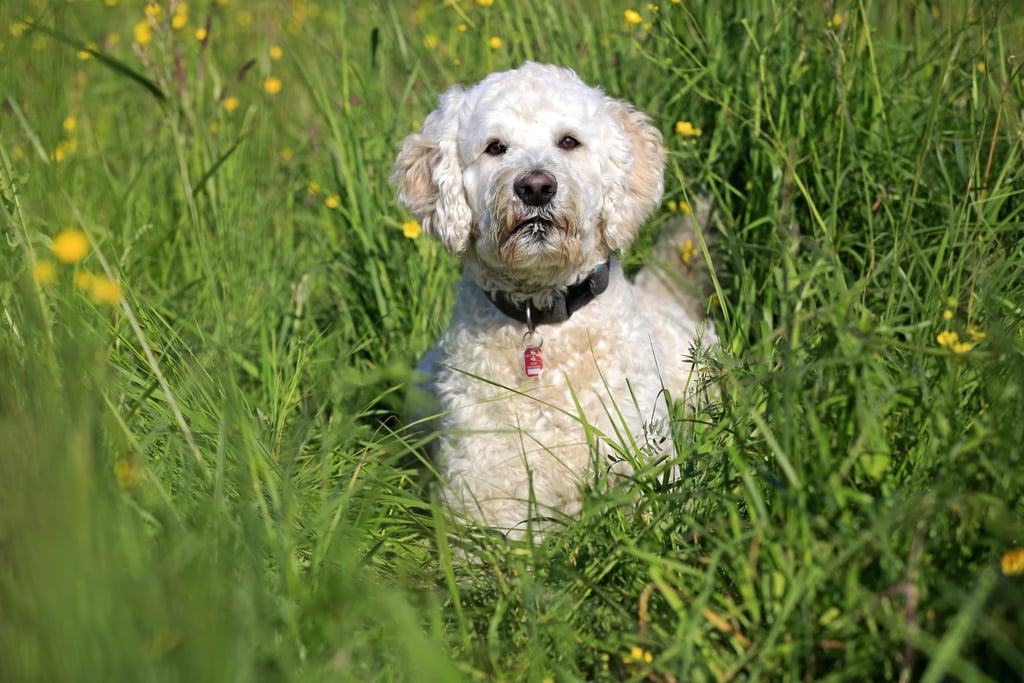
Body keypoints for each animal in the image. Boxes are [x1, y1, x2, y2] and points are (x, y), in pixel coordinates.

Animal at [391, 61, 712, 536]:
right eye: (495, 147)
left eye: (568, 141)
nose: (536, 186)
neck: (542, 314)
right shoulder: (483, 497)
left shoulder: (643, 466)